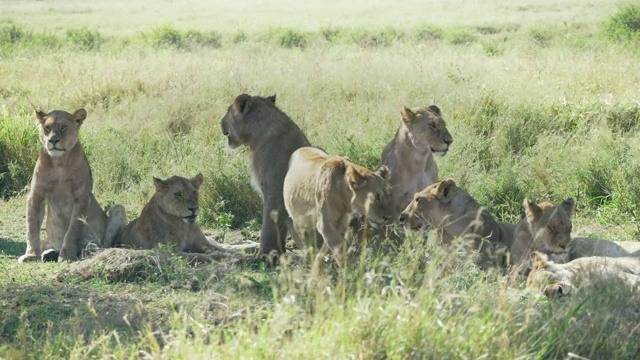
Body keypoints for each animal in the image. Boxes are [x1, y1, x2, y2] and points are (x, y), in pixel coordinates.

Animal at [19, 108, 127, 262]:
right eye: (47, 127)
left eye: (64, 127)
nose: (53, 140)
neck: (59, 162)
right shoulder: (36, 195)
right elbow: (31, 226)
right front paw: (31, 255)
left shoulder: (81, 197)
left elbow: (72, 230)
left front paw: (67, 255)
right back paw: (49, 254)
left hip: (118, 209)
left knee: (104, 245)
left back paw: (90, 252)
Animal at [115, 174, 258, 262]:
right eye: (178, 194)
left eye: (194, 192)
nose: (193, 209)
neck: (184, 226)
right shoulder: (169, 251)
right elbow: (199, 256)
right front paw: (220, 257)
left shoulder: (203, 243)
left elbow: (224, 249)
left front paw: (241, 256)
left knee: (229, 245)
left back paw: (254, 244)